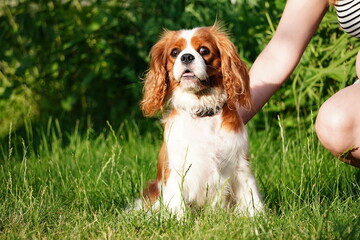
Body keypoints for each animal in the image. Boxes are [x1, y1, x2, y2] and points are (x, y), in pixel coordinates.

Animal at [136, 23, 262, 217]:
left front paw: (258, 217)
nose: (186, 56)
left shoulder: (240, 164)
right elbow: (177, 202)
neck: (201, 109)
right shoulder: (175, 169)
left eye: (204, 50)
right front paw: (179, 220)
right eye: (174, 52)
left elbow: (251, 196)